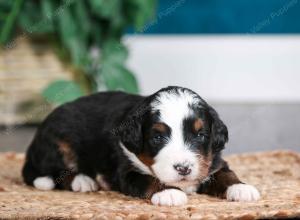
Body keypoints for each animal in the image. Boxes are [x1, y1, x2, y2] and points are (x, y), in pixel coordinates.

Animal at [22, 86, 258, 206]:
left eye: (200, 135)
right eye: (158, 138)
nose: (183, 169)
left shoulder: (213, 160)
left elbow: (225, 174)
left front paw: (241, 188)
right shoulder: (127, 171)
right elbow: (148, 180)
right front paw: (169, 193)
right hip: (58, 142)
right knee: (51, 173)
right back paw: (82, 180)